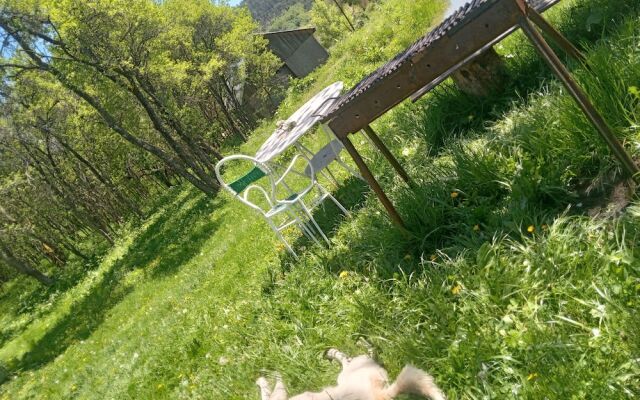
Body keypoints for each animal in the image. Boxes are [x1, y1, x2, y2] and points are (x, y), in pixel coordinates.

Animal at [256, 346, 444, 400]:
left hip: (349, 370)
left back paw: (332, 352)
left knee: (348, 358)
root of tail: (380, 395)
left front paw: (265, 377)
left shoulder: (277, 397)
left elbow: (273, 385)